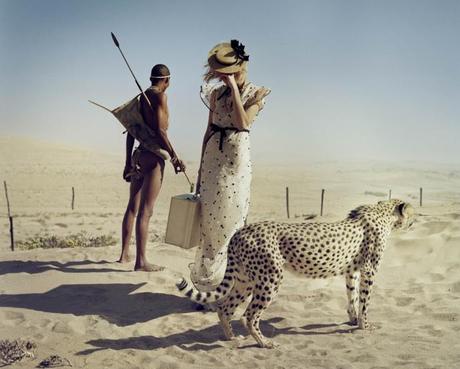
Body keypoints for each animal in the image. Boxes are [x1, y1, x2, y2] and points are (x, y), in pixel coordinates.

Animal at [176, 200, 414, 346]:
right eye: (413, 212)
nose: (416, 220)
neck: (383, 213)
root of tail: (240, 231)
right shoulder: (369, 271)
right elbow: (365, 300)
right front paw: (364, 325)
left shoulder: (352, 271)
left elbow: (352, 296)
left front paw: (353, 319)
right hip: (270, 279)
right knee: (248, 315)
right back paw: (264, 343)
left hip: (246, 279)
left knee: (225, 308)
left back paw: (232, 338)